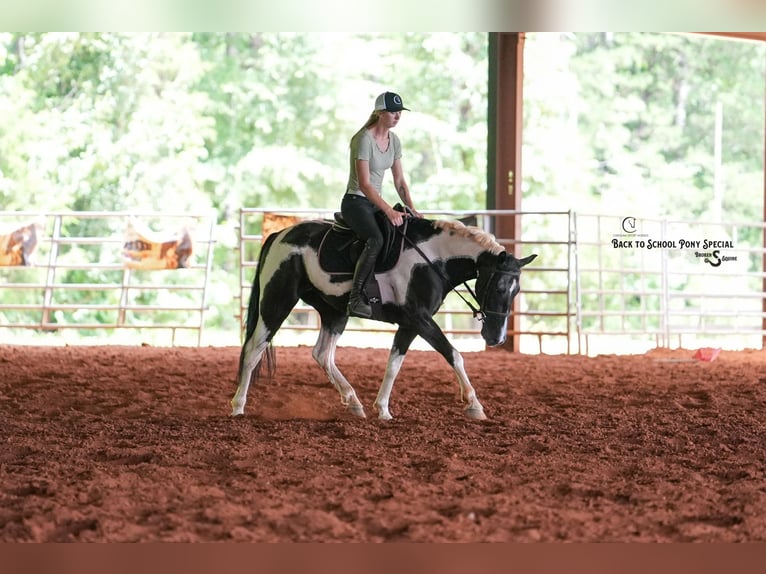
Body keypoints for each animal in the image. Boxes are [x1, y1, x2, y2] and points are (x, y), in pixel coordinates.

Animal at [231, 213, 537, 421]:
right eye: (499, 287)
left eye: (517, 290)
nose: (496, 338)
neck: (432, 259)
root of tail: (280, 236)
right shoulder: (420, 319)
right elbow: (454, 355)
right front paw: (475, 405)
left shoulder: (410, 324)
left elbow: (393, 365)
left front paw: (383, 409)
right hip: (277, 301)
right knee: (254, 349)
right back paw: (238, 406)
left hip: (334, 312)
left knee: (322, 354)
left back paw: (353, 402)